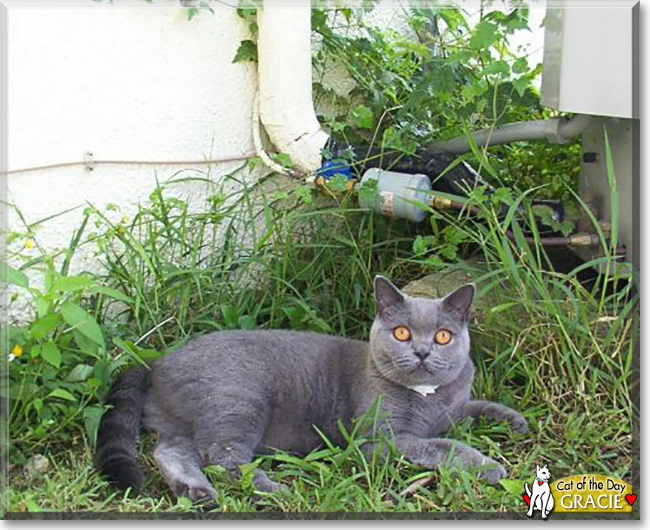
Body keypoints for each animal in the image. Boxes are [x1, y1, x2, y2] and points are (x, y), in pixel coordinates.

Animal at [93, 276, 524, 504]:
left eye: (443, 336)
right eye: (401, 333)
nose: (421, 351)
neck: (428, 397)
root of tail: (158, 362)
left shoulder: (456, 403)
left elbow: (474, 406)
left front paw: (515, 420)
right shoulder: (377, 439)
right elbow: (440, 445)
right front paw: (487, 465)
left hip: (191, 419)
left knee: (172, 450)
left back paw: (195, 490)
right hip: (238, 399)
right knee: (223, 457)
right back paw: (273, 490)